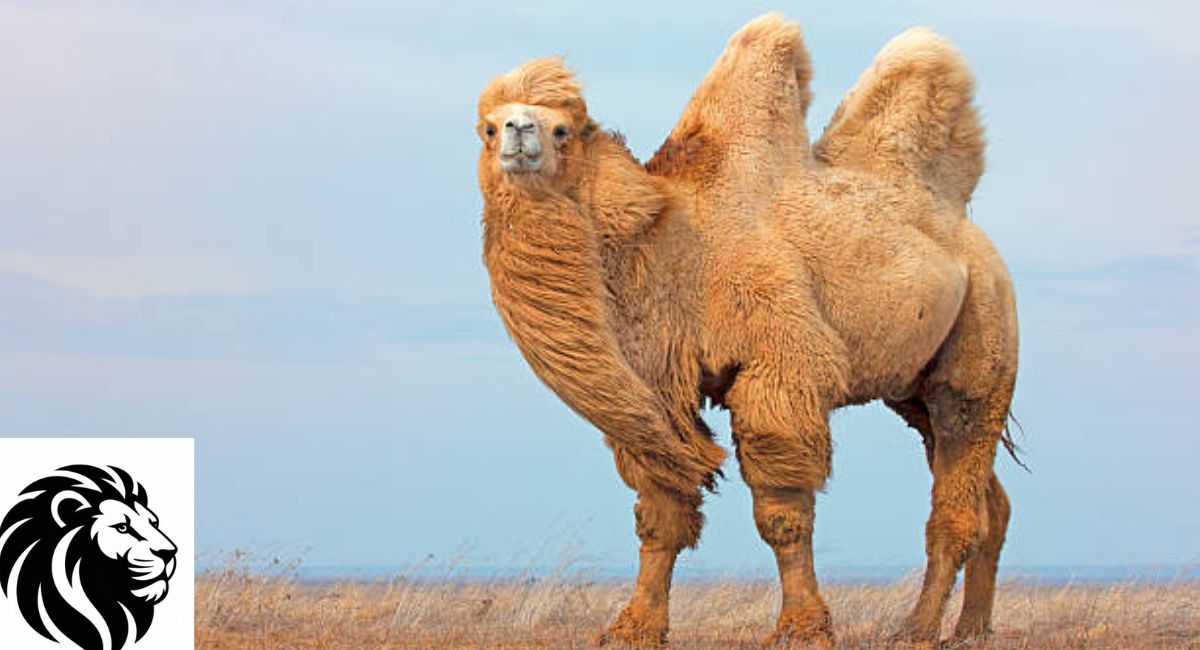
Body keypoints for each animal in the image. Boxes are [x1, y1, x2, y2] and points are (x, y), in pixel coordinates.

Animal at [476, 14, 1018, 647]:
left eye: (563, 130)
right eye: (487, 128)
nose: (517, 133)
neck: (669, 245)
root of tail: (972, 237)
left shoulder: (779, 363)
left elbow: (782, 512)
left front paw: (803, 627)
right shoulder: (660, 391)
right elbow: (660, 512)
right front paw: (634, 627)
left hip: (984, 334)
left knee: (957, 487)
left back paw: (918, 628)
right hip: (913, 389)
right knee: (988, 499)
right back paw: (972, 627)